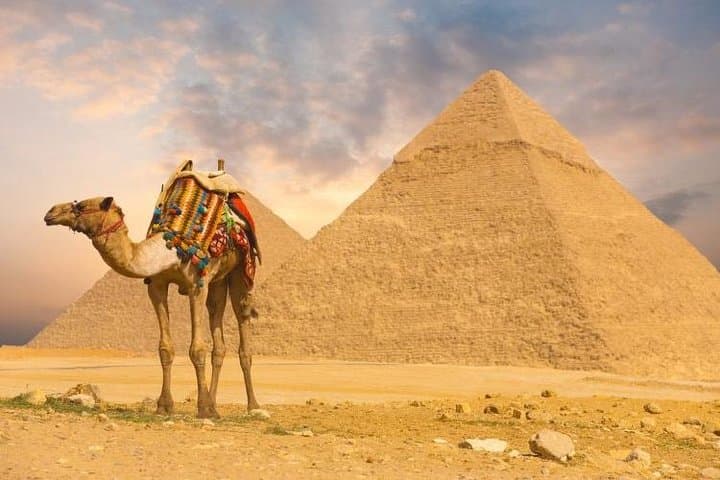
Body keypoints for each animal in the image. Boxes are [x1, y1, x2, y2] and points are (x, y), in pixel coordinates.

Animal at [43, 194, 260, 418]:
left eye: (81, 206)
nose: (50, 213)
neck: (171, 250)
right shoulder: (157, 285)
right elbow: (165, 348)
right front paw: (164, 406)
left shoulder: (197, 285)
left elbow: (197, 349)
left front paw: (204, 408)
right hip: (218, 281)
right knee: (218, 332)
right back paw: (215, 405)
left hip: (240, 271)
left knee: (242, 321)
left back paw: (252, 405)